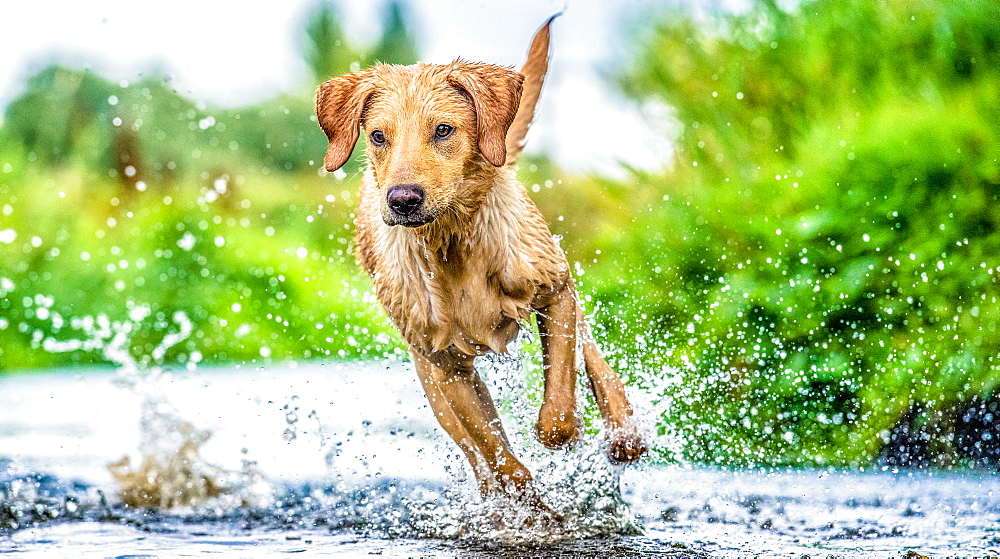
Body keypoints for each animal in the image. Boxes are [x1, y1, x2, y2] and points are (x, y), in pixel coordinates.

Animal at [314, 18, 648, 516]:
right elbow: (497, 456)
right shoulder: (443, 366)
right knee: (477, 453)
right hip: (433, 384)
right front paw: (527, 506)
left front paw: (566, 436)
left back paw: (624, 432)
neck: (453, 243)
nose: (402, 199)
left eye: (443, 130)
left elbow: (559, 408)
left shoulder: (554, 292)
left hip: (559, 274)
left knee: (592, 358)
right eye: (377, 136)